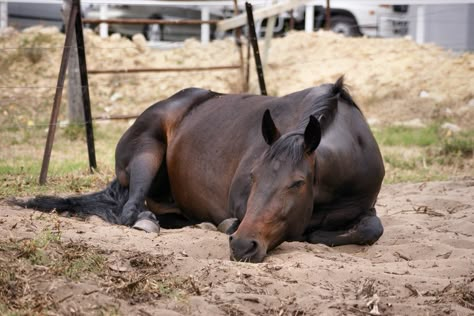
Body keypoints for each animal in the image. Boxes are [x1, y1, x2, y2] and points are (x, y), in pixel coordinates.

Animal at [14, 76, 386, 262]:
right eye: (253, 176)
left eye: (296, 183)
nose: (243, 247)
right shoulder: (239, 201)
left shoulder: (364, 206)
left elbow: (372, 228)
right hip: (147, 152)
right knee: (131, 209)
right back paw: (148, 222)